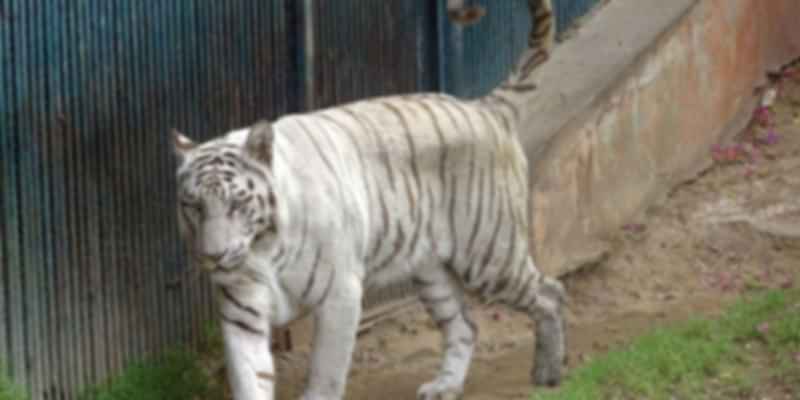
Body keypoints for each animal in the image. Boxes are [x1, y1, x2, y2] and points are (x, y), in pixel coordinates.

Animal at [171, 1, 564, 399]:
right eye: (193, 206)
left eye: (237, 205)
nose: (213, 257)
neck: (264, 249)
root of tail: (483, 107)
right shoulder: (242, 310)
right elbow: (249, 377)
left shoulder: (340, 295)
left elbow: (326, 373)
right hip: (431, 270)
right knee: (465, 325)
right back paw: (445, 386)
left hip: (489, 256)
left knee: (550, 292)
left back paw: (548, 375)